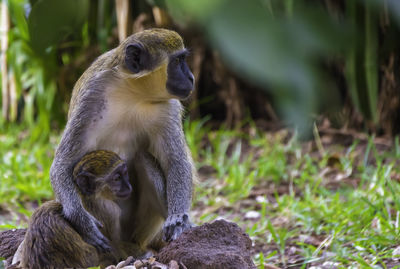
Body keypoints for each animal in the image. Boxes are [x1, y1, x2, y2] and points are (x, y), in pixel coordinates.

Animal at [50, 28, 195, 250]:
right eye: (178, 61)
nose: (192, 77)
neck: (132, 91)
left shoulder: (168, 107)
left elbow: (175, 162)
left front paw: (178, 218)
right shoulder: (91, 96)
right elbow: (62, 164)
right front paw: (83, 222)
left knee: (145, 159)